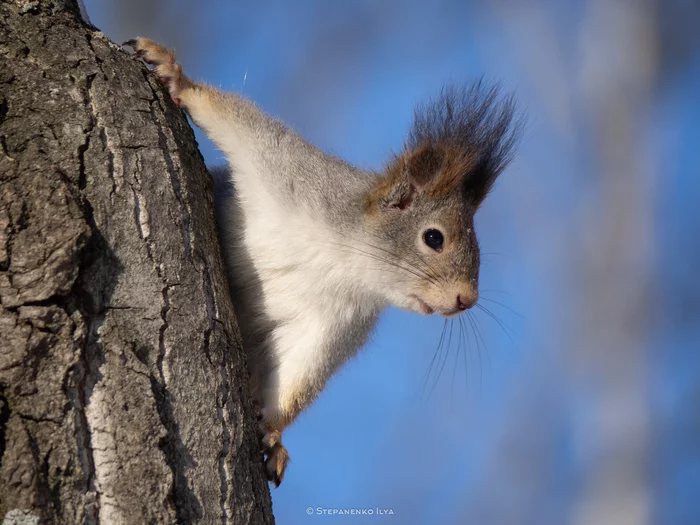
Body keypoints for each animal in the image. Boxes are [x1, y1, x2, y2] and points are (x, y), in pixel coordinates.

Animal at [126, 36, 520, 486]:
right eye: (433, 238)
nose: (466, 300)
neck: (343, 257)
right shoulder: (283, 165)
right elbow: (232, 119)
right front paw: (175, 74)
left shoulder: (334, 324)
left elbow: (300, 374)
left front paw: (273, 432)